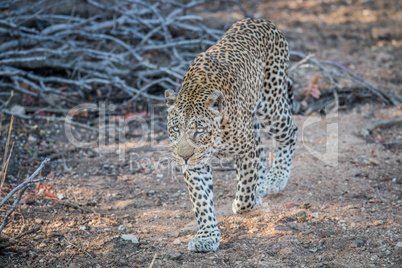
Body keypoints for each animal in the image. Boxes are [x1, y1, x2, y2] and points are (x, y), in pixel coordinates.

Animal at [164, 17, 298, 252]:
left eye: (199, 131)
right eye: (175, 130)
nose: (184, 157)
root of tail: (259, 19)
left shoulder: (246, 149)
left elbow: (245, 191)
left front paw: (246, 202)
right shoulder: (196, 165)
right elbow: (202, 201)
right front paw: (207, 237)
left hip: (271, 104)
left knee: (290, 134)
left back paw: (275, 178)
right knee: (264, 150)